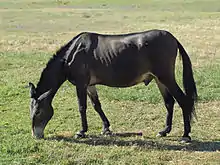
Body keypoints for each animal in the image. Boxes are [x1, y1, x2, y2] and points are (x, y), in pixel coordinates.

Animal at [28, 29, 197, 142]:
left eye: (38, 112)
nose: (36, 135)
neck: (72, 54)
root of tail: (172, 37)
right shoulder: (89, 85)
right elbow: (97, 106)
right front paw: (106, 128)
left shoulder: (81, 84)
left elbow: (82, 107)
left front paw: (82, 132)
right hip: (159, 79)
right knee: (169, 102)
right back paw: (164, 131)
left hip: (165, 77)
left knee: (183, 101)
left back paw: (185, 135)